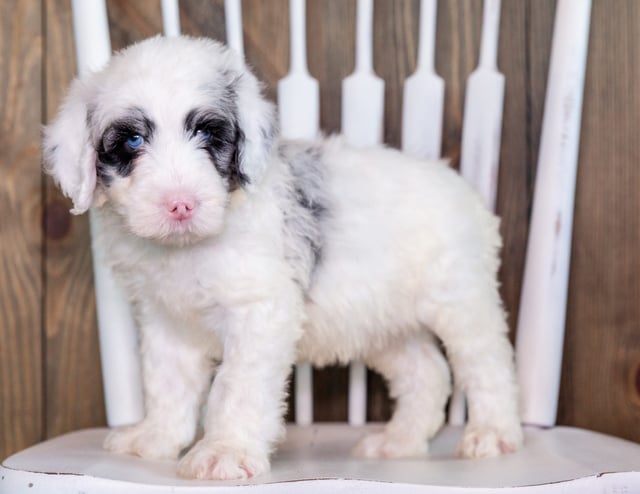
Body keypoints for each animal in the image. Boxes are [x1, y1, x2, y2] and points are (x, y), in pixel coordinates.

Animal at [45, 36, 524, 480]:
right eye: (132, 140)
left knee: (487, 362)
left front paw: (225, 451)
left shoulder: (259, 312)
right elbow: (166, 383)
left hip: (460, 300)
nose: (180, 205)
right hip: (383, 324)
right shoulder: (167, 321)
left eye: (208, 134)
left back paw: (493, 434)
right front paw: (154, 438)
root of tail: (457, 183)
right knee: (427, 373)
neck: (189, 249)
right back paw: (398, 442)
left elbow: (236, 386)